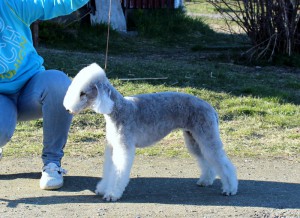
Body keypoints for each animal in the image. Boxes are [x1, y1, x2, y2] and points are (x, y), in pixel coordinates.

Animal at [63, 63, 237, 201]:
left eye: (82, 93)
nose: (67, 109)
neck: (117, 109)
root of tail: (210, 107)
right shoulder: (112, 146)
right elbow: (109, 169)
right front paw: (103, 189)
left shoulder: (123, 147)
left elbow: (118, 171)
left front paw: (112, 194)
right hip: (193, 138)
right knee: (206, 159)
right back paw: (206, 180)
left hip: (206, 134)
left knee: (222, 162)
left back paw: (230, 188)